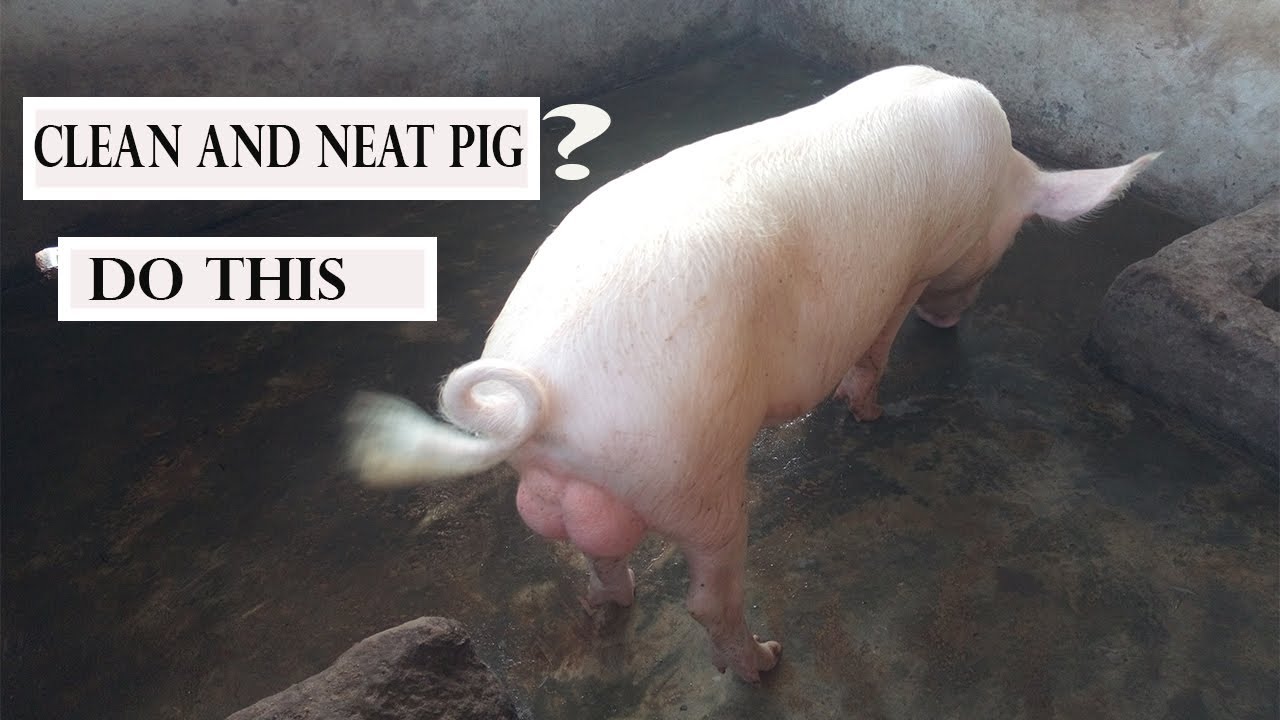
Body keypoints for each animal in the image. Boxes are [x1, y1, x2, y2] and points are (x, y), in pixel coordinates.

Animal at [344, 65, 1158, 682]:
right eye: (1011, 242)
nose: (947, 323)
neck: (994, 181)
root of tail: (542, 398)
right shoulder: (905, 278)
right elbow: (875, 348)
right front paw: (869, 412)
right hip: (691, 466)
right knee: (708, 594)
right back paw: (764, 661)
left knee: (599, 555)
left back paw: (610, 607)